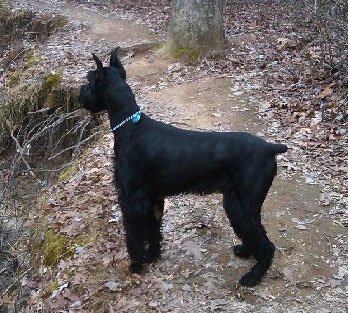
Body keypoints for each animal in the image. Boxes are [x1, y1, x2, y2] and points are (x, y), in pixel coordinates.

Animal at [79, 48, 288, 286]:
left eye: (90, 80)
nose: (80, 94)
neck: (129, 126)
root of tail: (270, 148)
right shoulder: (153, 198)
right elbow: (153, 228)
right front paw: (152, 255)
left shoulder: (133, 199)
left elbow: (134, 234)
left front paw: (137, 264)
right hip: (237, 204)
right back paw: (245, 251)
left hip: (244, 205)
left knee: (266, 244)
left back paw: (253, 276)